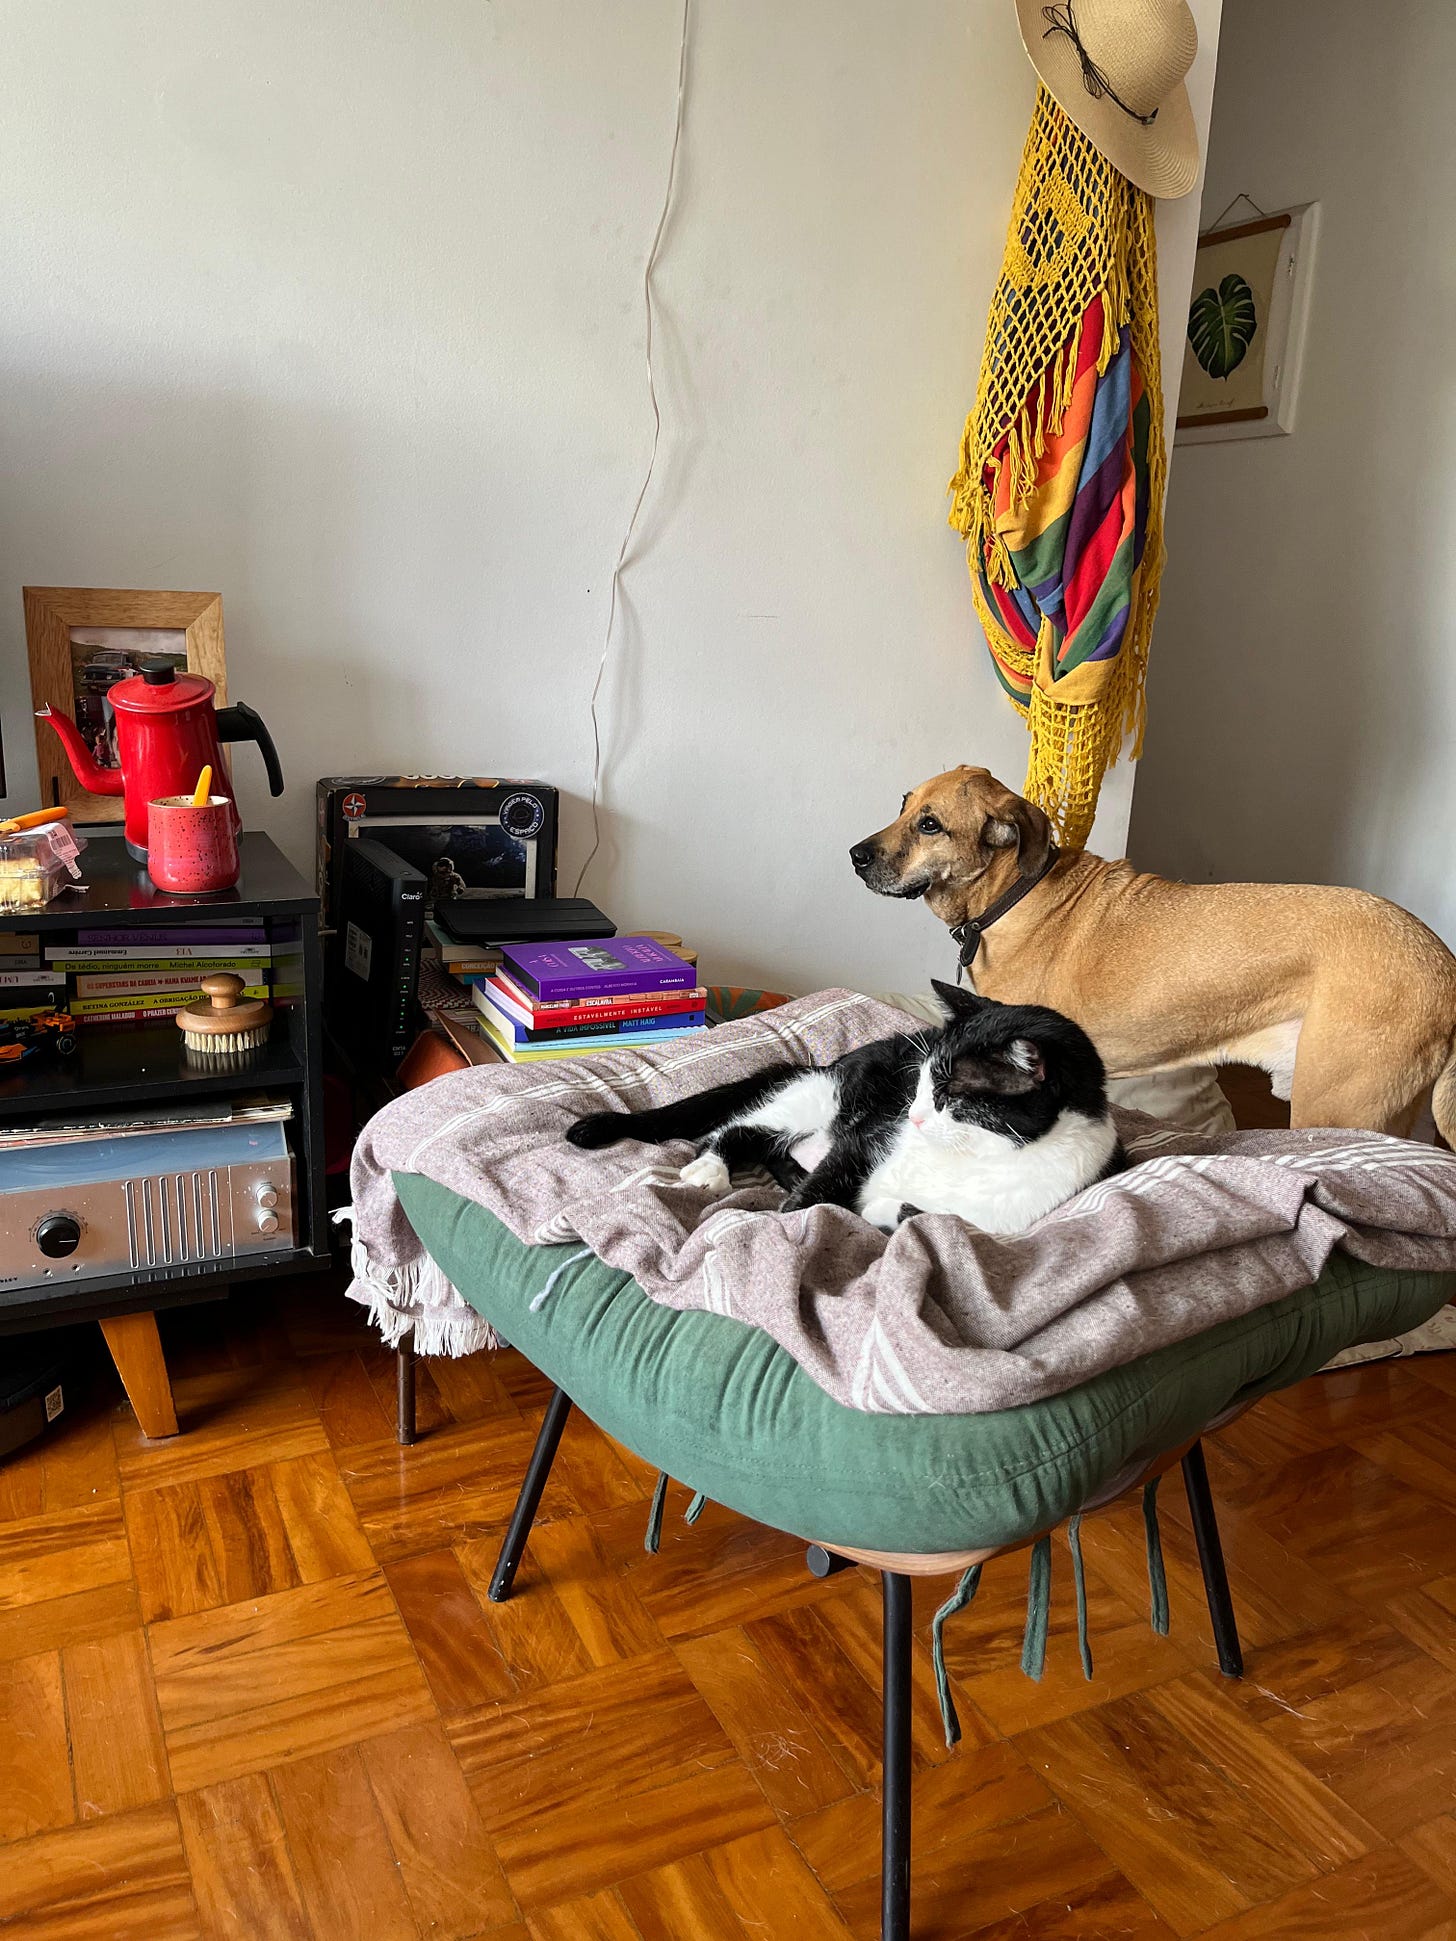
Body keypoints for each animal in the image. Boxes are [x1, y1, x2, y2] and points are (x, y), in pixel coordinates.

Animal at [562, 978, 1125, 1234]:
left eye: (949, 1097)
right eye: (920, 1084)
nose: (913, 1116)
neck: (973, 1158)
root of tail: (830, 1061)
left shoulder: (1005, 1220)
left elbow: (923, 1216)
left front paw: (880, 1208)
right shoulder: (865, 1142)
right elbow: (829, 1182)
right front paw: (787, 1221)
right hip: (822, 1096)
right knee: (742, 1127)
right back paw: (713, 1168)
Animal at [854, 764, 1456, 1141]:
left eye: (930, 824)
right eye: (904, 805)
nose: (855, 855)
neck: (1012, 894)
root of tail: (1444, 965)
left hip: (1338, 1102)